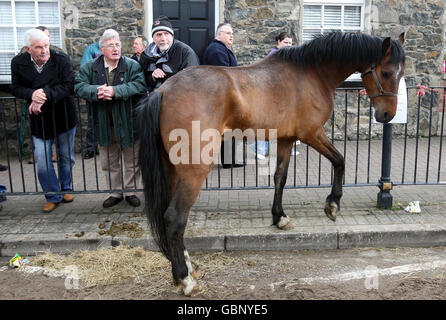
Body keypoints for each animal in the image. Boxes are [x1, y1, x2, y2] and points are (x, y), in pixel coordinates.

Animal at [139, 31, 404, 296]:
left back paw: (188, 266)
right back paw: (184, 279)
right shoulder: (311, 133)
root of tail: (163, 91)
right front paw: (332, 204)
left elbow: (280, 178)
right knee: (175, 217)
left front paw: (279, 217)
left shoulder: (287, 139)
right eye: (386, 72)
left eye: (401, 74)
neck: (312, 72)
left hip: (172, 169)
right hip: (194, 169)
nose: (387, 115)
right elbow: (339, 161)